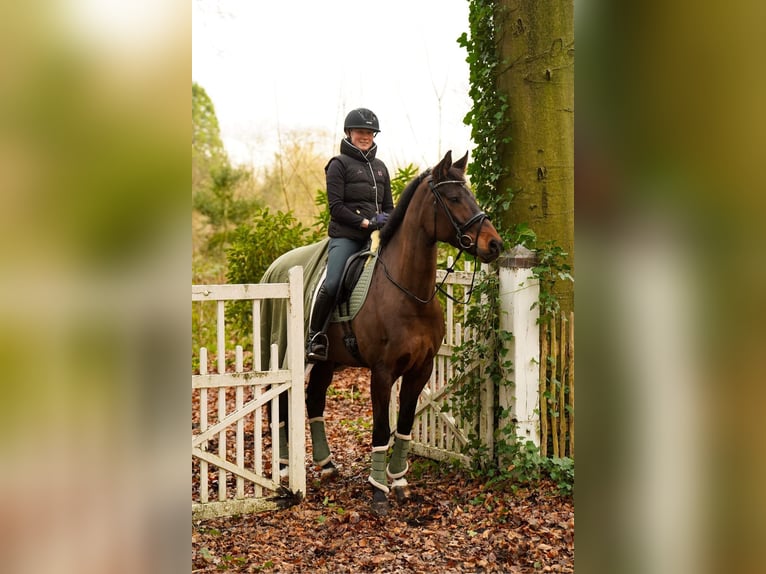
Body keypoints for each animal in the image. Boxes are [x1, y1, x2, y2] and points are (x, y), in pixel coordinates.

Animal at [272, 150, 503, 515]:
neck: (408, 292)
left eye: (472, 196)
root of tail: (276, 266)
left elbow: (404, 425)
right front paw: (379, 491)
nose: (494, 244)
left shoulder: (421, 369)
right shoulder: (382, 372)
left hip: (325, 362)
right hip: (286, 354)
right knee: (281, 402)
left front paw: (400, 483)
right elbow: (381, 428)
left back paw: (327, 465)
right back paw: (283, 468)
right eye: (454, 198)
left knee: (314, 399)